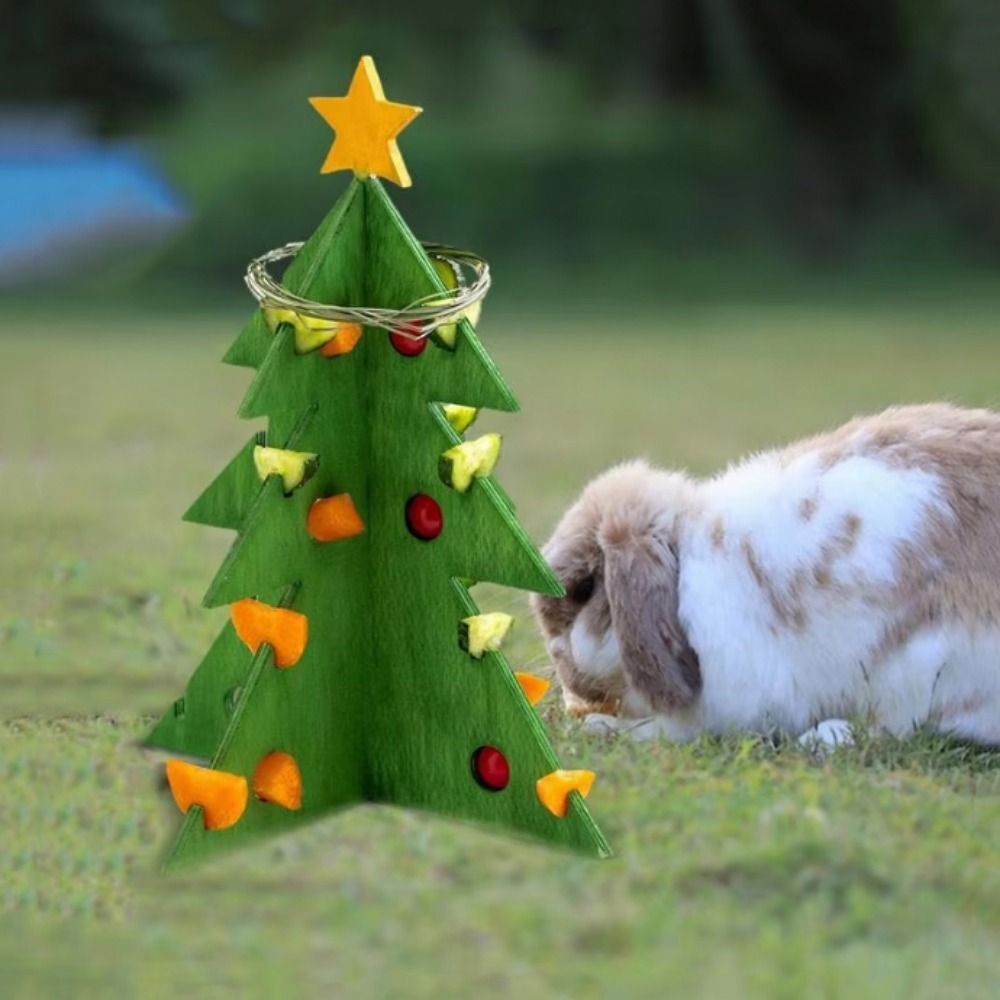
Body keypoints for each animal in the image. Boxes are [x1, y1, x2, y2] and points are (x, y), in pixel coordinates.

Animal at [531, 403, 1000, 748]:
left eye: (583, 589)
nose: (560, 667)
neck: (684, 574)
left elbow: (665, 731)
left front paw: (599, 728)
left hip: (923, 671)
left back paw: (824, 737)